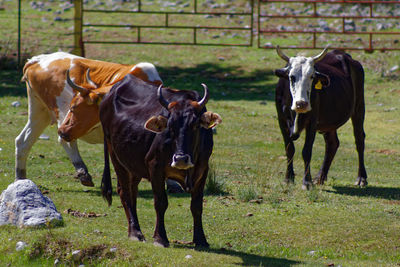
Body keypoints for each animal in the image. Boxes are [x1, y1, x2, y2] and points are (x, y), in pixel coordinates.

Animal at [16, 52, 161, 186]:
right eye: (73, 107)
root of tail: (38, 60)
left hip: (40, 113)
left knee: (23, 141)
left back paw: (20, 179)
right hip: (61, 113)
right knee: (65, 140)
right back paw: (82, 171)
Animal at [94, 74, 222, 248]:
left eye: (195, 125)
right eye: (170, 125)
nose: (181, 159)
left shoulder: (203, 170)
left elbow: (196, 205)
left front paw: (201, 239)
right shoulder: (155, 166)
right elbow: (160, 203)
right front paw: (160, 238)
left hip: (133, 165)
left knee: (132, 192)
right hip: (116, 157)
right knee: (124, 192)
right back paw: (135, 232)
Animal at [274, 46, 368, 189]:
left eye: (312, 76)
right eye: (291, 77)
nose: (301, 103)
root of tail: (344, 55)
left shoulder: (312, 121)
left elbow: (306, 151)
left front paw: (306, 182)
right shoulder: (282, 120)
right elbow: (289, 149)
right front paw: (288, 179)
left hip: (359, 108)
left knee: (359, 140)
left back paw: (361, 178)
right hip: (329, 123)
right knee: (332, 143)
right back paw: (320, 177)